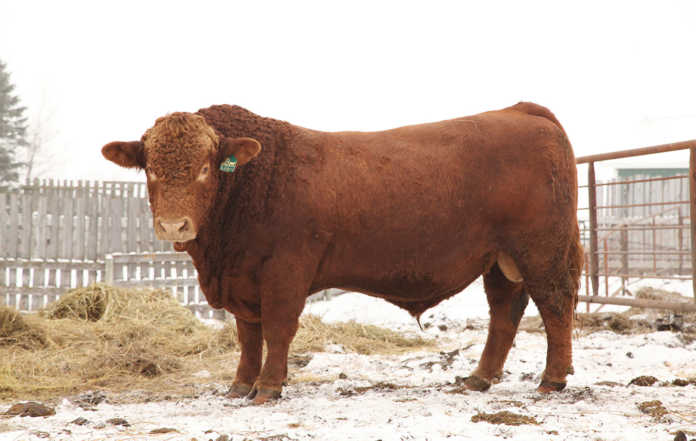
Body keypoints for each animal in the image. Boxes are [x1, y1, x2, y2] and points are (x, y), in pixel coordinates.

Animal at [102, 102, 583, 405]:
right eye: (150, 168)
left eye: (205, 168)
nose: (174, 225)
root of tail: (521, 110)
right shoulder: (243, 280)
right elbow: (248, 335)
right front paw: (240, 385)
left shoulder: (284, 273)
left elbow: (277, 330)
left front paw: (268, 388)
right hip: (500, 261)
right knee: (505, 312)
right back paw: (478, 379)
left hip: (542, 250)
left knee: (556, 306)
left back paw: (551, 380)